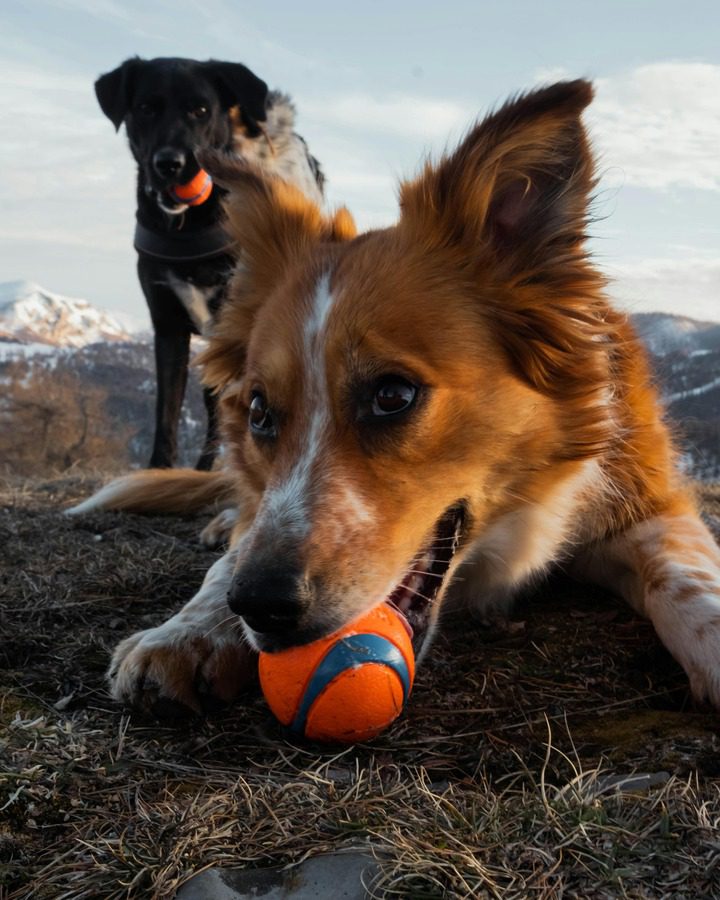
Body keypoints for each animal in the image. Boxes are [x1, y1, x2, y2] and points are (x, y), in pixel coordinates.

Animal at [95, 54, 324, 472]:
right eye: (146, 108)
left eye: (200, 110)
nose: (170, 164)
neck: (191, 223)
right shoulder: (167, 324)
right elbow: (167, 408)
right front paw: (159, 470)